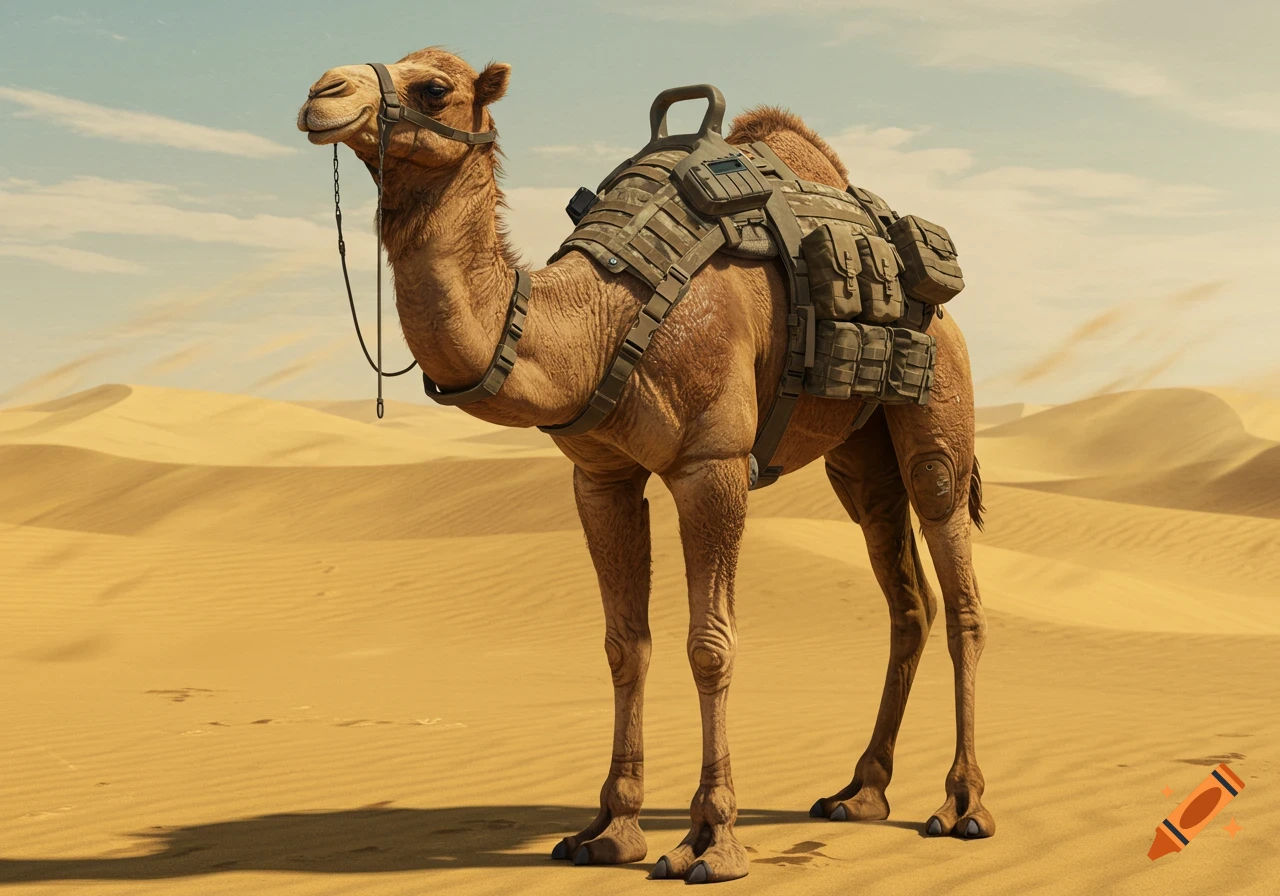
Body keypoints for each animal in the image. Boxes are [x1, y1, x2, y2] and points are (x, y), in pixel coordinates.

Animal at [297, 47, 993, 885]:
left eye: (434, 87)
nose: (322, 94)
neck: (600, 317)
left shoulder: (712, 464)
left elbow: (710, 645)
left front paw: (711, 840)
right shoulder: (600, 475)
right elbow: (624, 645)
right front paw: (609, 829)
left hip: (937, 408)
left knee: (957, 575)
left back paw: (961, 804)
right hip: (859, 452)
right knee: (906, 594)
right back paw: (859, 792)